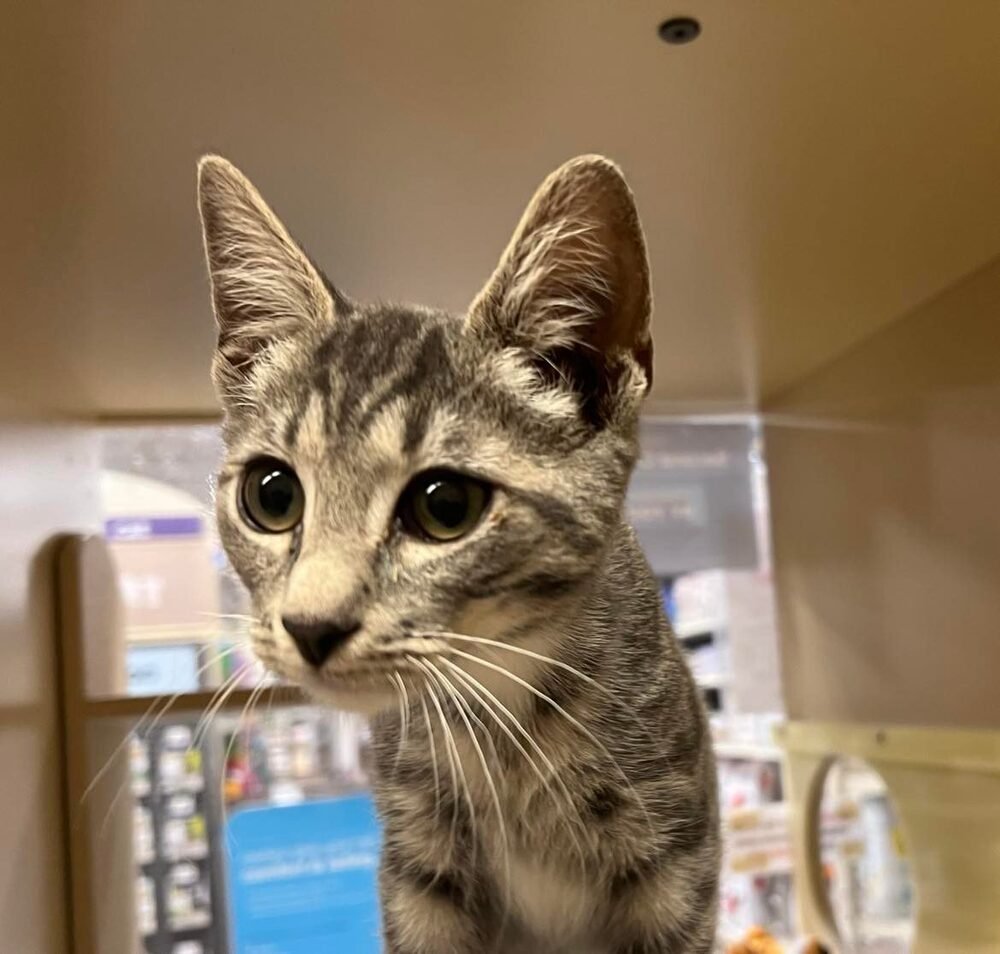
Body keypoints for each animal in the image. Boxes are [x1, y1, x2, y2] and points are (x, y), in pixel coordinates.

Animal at [197, 153, 720, 953]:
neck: (499, 713)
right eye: (272, 494)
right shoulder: (417, 863)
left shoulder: (676, 857)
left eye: (446, 507)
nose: (311, 627)